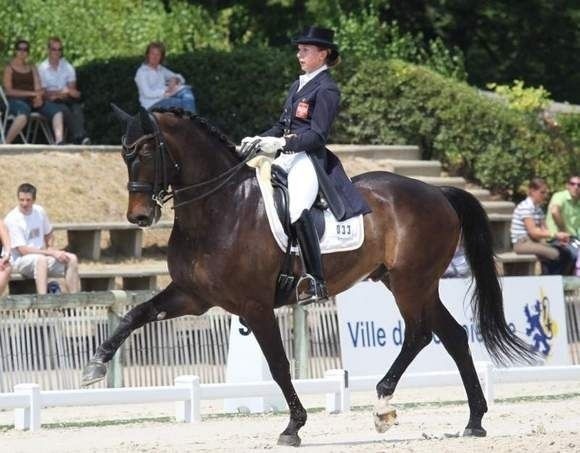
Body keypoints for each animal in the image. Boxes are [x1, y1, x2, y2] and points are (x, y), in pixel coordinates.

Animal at [81, 106, 536, 444]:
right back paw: (474, 421)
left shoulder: (255, 306)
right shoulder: (193, 296)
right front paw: (95, 366)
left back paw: (383, 406)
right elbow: (135, 315)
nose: (139, 217)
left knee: (420, 334)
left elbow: (279, 365)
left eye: (145, 152)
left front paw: (293, 426)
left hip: (412, 281)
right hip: (408, 281)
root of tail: (436, 191)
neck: (221, 207)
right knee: (453, 335)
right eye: (123, 153)